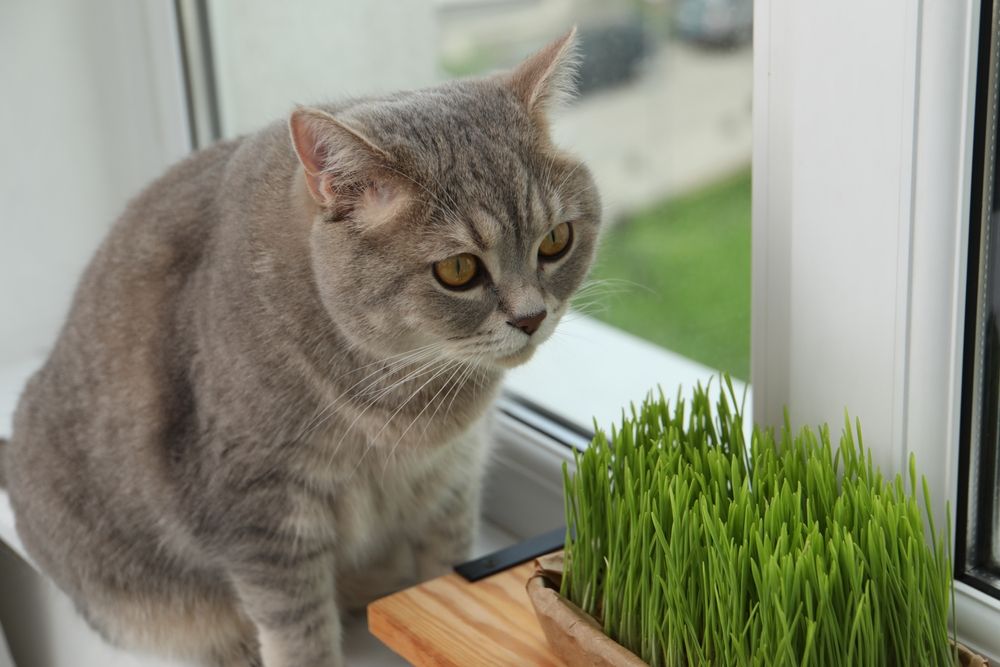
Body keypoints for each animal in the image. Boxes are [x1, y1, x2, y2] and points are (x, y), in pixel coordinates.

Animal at [0, 28, 600, 664]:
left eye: (556, 241)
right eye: (458, 270)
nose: (532, 317)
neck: (408, 389)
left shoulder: (451, 480)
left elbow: (445, 573)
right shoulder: (263, 515)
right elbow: (298, 631)